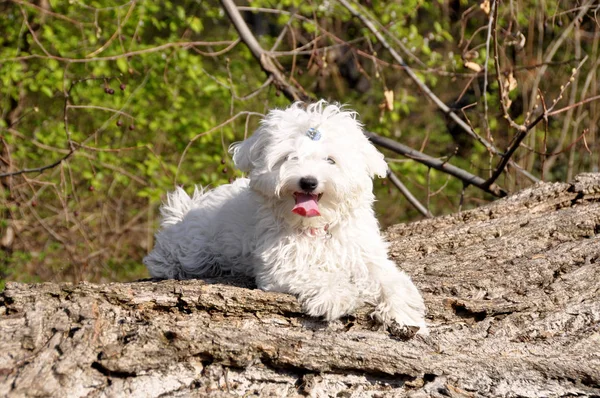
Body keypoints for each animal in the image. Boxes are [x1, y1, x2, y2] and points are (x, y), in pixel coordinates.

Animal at [144, 100, 426, 332]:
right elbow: (314, 274)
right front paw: (336, 295)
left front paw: (403, 312)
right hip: (193, 247)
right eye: (289, 157)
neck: (317, 226)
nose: (308, 181)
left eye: (330, 160)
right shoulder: (282, 262)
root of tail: (186, 209)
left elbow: (390, 280)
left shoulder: (365, 255)